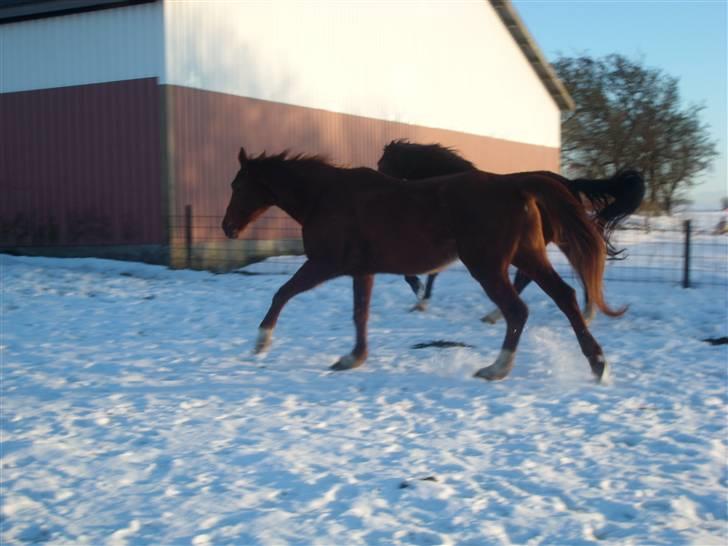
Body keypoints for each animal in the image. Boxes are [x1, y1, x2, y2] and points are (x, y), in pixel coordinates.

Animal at [223, 147, 624, 380]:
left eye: (238, 186)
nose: (227, 228)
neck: (324, 197)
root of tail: (518, 186)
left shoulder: (323, 264)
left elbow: (282, 293)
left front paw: (261, 342)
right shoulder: (361, 271)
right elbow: (360, 314)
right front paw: (353, 358)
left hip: (488, 266)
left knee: (518, 310)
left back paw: (497, 368)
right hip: (527, 257)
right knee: (564, 297)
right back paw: (597, 365)